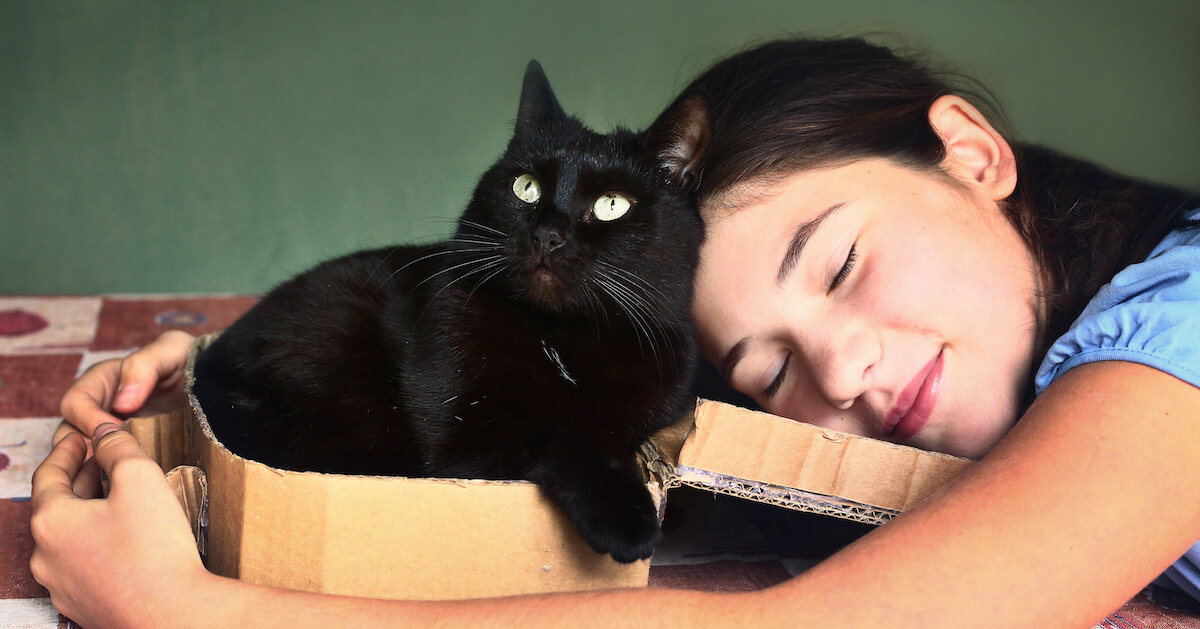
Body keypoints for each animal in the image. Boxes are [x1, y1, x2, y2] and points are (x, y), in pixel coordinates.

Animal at [192, 62, 705, 564]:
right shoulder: (466, 441)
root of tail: (204, 369)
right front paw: (628, 522)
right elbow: (562, 437)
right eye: (526, 187)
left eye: (612, 204)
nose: (547, 234)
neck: (562, 342)